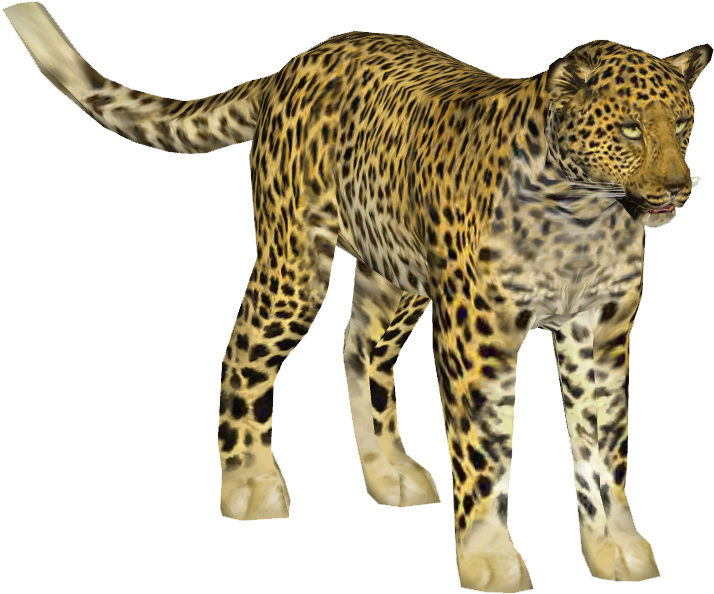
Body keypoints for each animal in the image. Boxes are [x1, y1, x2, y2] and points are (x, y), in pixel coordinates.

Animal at [5, 2, 710, 591]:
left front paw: (615, 545)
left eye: (681, 123)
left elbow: (603, 447)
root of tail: (292, 64)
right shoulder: (476, 338)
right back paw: (250, 483)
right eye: (628, 130)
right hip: (294, 265)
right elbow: (486, 453)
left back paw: (388, 470)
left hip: (395, 271)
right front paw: (488, 556)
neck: (582, 213)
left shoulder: (598, 335)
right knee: (245, 354)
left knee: (361, 350)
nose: (680, 186)